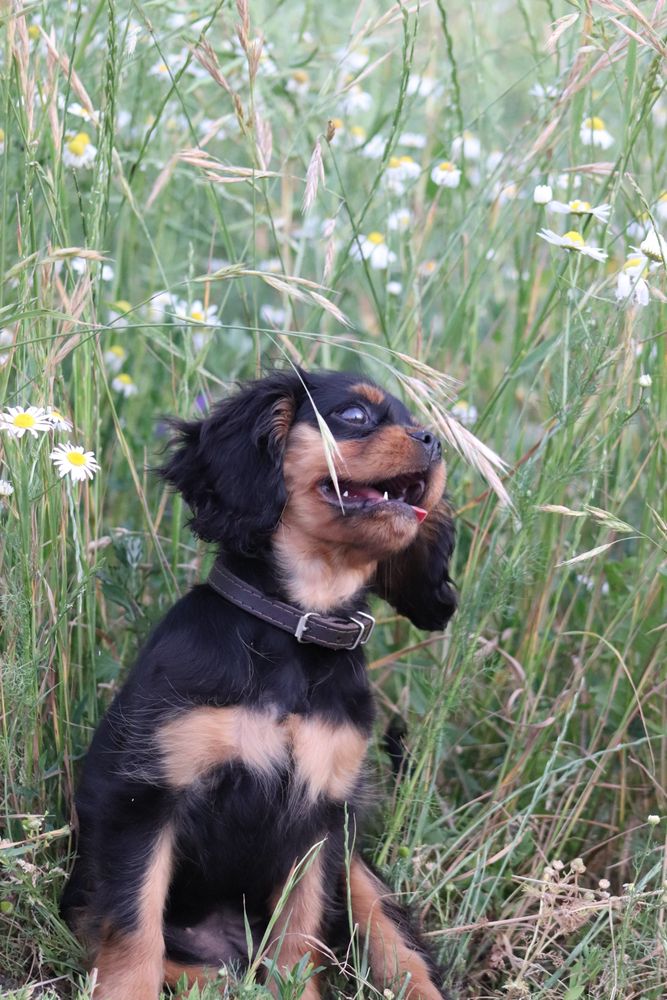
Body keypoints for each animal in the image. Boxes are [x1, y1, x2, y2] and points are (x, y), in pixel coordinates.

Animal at [61, 370, 460, 1000]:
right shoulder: (144, 799)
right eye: (353, 415)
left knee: (390, 933)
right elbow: (134, 926)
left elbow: (300, 937)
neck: (296, 628)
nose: (434, 441)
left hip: (353, 857)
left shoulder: (321, 819)